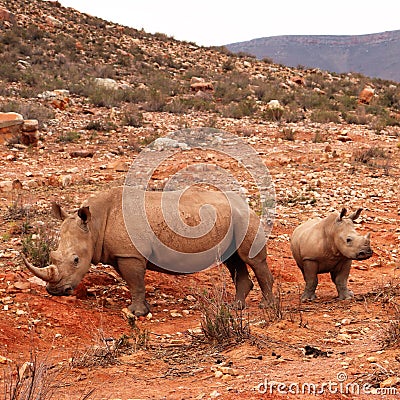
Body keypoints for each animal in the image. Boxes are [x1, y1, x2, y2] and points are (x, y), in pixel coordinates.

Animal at [22, 186, 276, 314]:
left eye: (76, 260)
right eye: (53, 256)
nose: (54, 291)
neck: (94, 224)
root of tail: (245, 203)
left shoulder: (130, 255)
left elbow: (135, 282)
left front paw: (135, 313)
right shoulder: (123, 254)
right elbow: (134, 283)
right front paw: (143, 309)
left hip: (243, 218)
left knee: (250, 259)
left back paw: (266, 307)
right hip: (231, 219)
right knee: (233, 260)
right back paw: (235, 307)